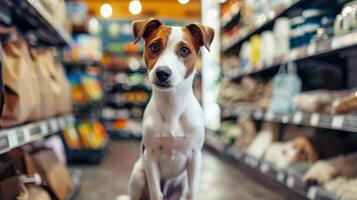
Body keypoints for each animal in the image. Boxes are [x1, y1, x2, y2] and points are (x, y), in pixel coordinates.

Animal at [119, 18, 214, 200]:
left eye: (184, 50)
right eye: (155, 46)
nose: (162, 73)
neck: (172, 105)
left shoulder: (195, 156)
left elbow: (192, 192)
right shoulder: (150, 156)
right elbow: (156, 193)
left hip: (181, 181)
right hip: (139, 174)